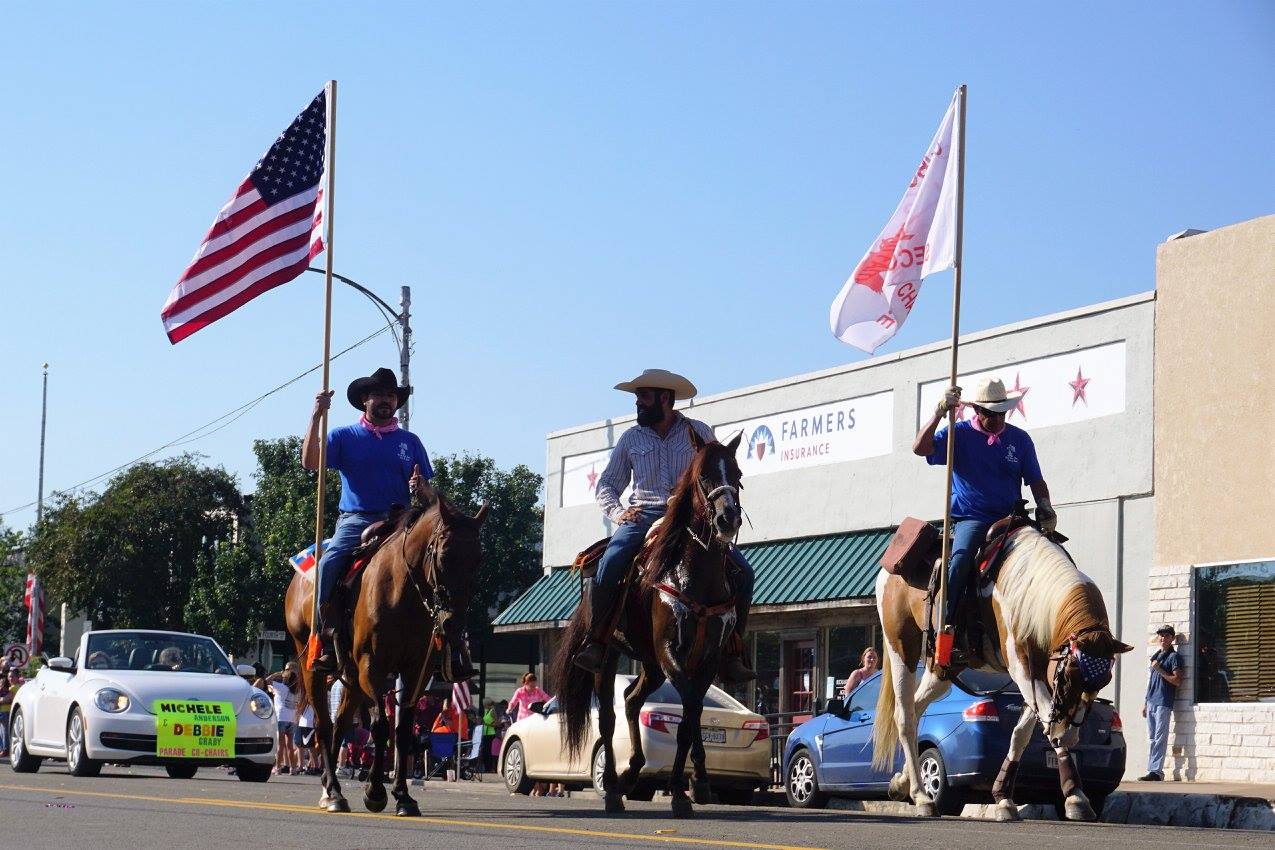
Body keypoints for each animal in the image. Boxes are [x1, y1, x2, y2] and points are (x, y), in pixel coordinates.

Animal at [285, 499, 487, 815]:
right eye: (443, 555)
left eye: (477, 560)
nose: (453, 624)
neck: (403, 593)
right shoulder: (372, 666)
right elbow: (380, 727)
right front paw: (375, 792)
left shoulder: (417, 670)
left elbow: (402, 731)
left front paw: (403, 795)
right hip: (312, 667)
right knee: (323, 726)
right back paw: (334, 793)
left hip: (352, 677)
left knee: (340, 724)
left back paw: (329, 788)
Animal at [550, 433, 744, 815]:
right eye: (703, 475)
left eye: (738, 473)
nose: (727, 518)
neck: (693, 572)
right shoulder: (669, 651)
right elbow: (689, 711)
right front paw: (681, 791)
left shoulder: (708, 658)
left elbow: (693, 714)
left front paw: (696, 784)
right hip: (610, 656)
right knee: (608, 718)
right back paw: (613, 788)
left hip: (651, 664)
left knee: (631, 699)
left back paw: (633, 771)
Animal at [877, 527, 1137, 820]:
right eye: (1069, 675)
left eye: (1103, 681)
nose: (1070, 736)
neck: (1032, 590)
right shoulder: (1022, 666)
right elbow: (1046, 719)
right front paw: (1075, 795)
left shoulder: (1038, 672)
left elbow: (1024, 732)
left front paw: (1004, 797)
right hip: (901, 648)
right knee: (905, 716)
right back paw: (922, 797)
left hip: (942, 670)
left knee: (917, 706)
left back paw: (901, 783)